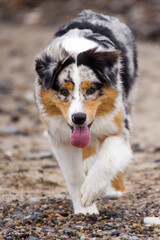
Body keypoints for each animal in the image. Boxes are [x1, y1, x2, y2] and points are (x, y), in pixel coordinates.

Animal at [34, 10, 138, 215]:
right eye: (63, 91)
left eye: (90, 90)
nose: (79, 118)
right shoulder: (60, 138)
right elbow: (74, 175)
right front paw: (85, 208)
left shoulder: (119, 127)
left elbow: (108, 157)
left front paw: (91, 190)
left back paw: (114, 190)